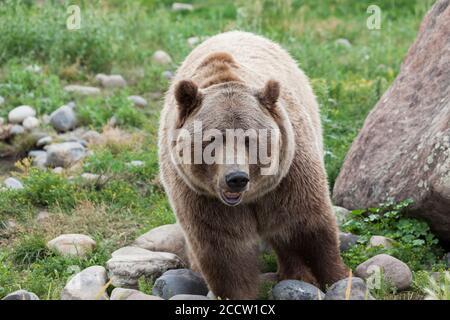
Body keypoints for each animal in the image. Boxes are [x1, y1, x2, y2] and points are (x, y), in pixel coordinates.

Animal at [158, 31, 348, 298]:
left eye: (250, 139)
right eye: (212, 139)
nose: (236, 178)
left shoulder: (288, 177)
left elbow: (306, 229)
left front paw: (334, 278)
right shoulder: (202, 199)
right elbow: (227, 256)